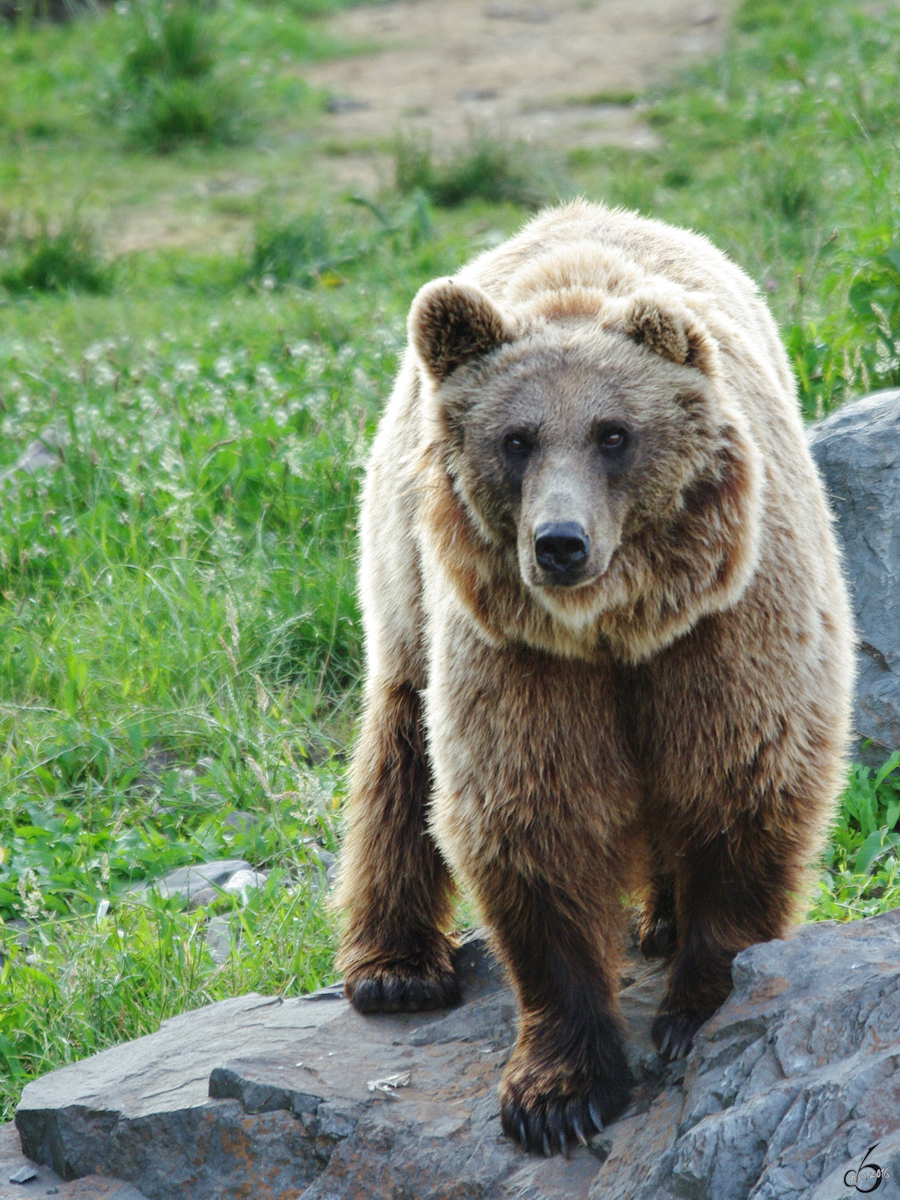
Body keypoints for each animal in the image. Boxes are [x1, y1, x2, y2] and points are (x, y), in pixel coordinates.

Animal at [336, 196, 854, 1152]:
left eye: (614, 434)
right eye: (516, 439)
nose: (560, 543)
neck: (614, 630)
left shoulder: (726, 627)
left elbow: (741, 776)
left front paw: (700, 1004)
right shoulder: (520, 658)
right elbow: (534, 817)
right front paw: (558, 1094)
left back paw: (662, 921)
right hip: (407, 579)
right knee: (402, 743)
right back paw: (394, 968)